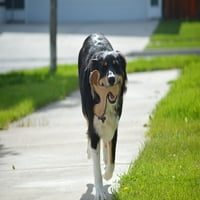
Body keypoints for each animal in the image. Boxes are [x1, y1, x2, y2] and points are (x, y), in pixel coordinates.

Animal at [78, 33, 126, 199]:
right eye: (103, 67)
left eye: (116, 65)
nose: (111, 79)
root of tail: (94, 34)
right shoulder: (94, 128)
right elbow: (96, 167)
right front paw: (99, 191)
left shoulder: (115, 126)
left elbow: (112, 159)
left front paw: (107, 173)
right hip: (85, 111)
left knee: (105, 143)